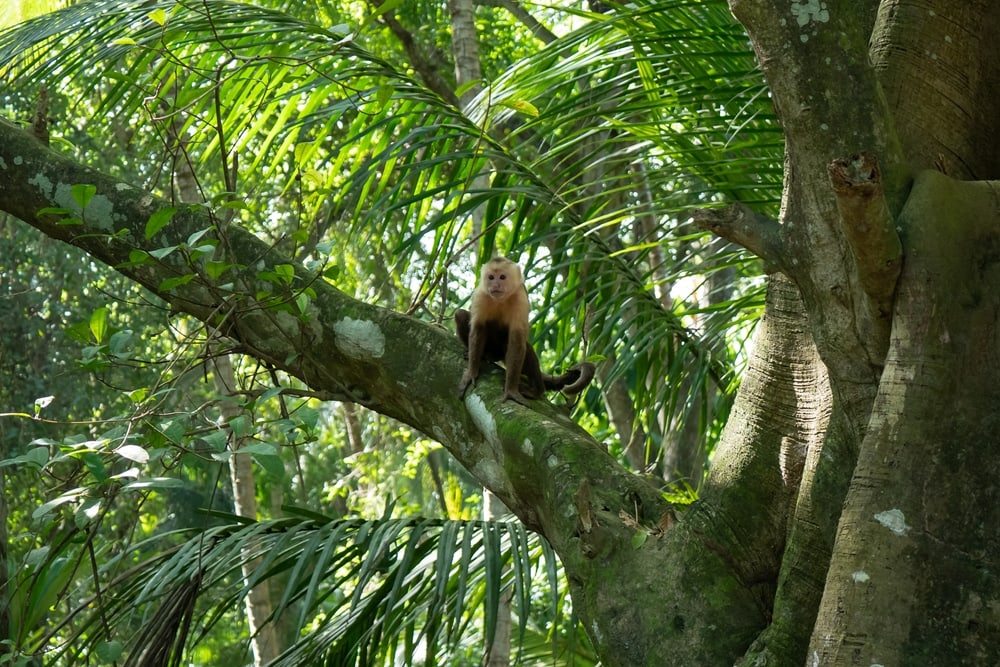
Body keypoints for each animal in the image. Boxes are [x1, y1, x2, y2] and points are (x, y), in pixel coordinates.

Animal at [456, 256, 595, 405]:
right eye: (491, 277)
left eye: (502, 277)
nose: (495, 285)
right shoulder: (480, 295)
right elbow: (478, 329)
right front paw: (472, 372)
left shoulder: (520, 297)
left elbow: (517, 339)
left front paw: (511, 391)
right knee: (460, 315)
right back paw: (484, 355)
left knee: (525, 348)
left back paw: (537, 390)